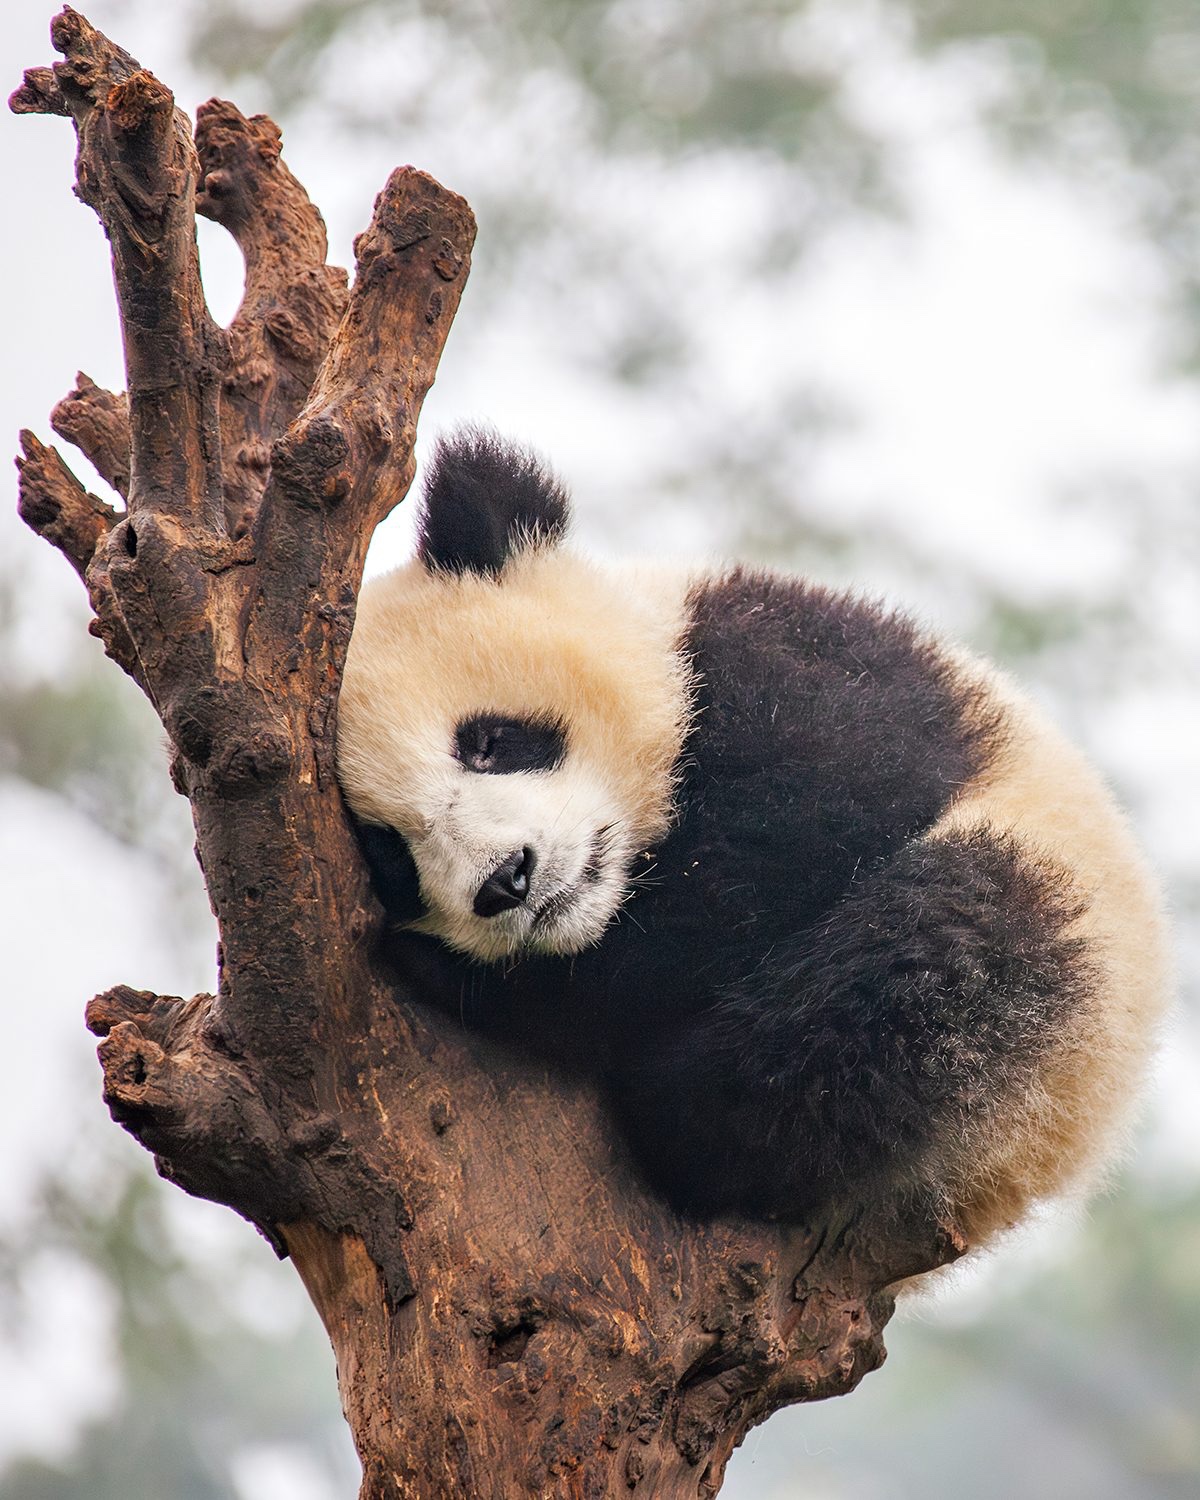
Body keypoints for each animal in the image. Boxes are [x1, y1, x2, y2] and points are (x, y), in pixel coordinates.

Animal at [336, 428, 1170, 1246]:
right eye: (394, 860)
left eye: (489, 742)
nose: (506, 881)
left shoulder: (812, 670)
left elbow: (788, 837)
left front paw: (471, 979)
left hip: (1056, 999)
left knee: (937, 957)